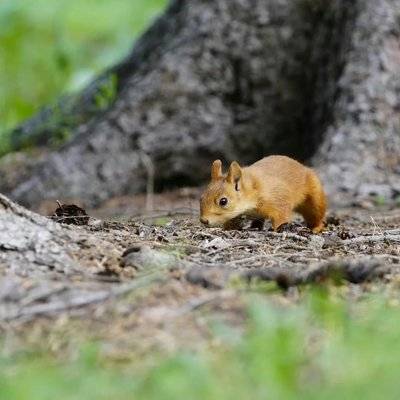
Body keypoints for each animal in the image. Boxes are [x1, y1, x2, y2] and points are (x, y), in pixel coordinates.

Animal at [198, 155, 326, 233]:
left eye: (223, 201)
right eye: (201, 198)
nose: (204, 221)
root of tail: (303, 167)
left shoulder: (278, 199)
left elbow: (281, 215)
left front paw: (279, 228)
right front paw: (227, 228)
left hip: (315, 198)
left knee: (317, 215)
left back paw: (316, 228)